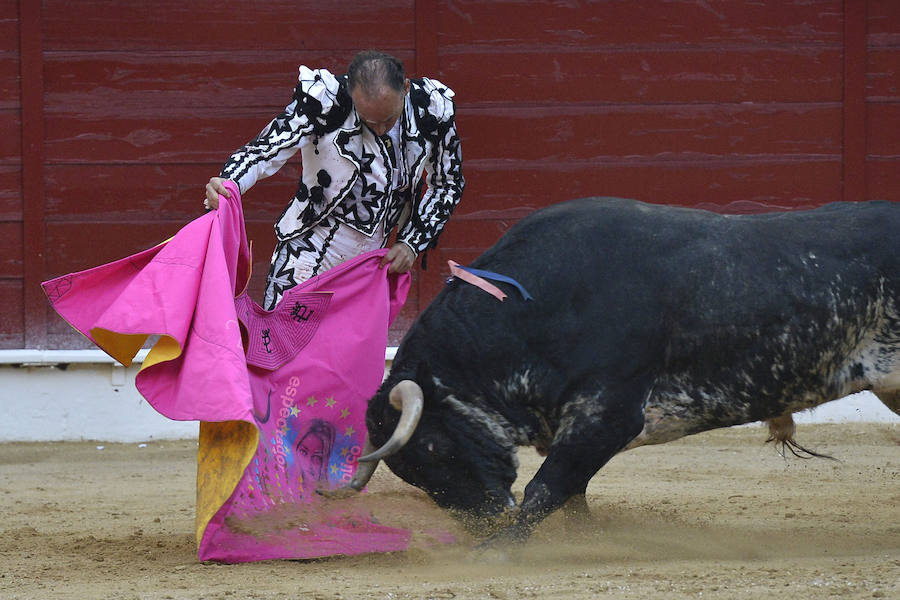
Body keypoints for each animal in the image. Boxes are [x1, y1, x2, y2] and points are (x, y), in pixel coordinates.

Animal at [334, 198, 896, 544]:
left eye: (431, 446)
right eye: (410, 471)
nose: (484, 522)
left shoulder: (609, 414)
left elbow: (546, 488)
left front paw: (497, 550)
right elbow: (570, 493)